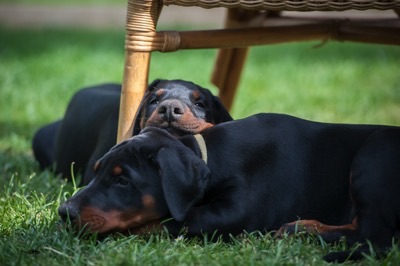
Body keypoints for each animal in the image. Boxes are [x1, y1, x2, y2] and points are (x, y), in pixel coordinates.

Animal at [59, 113, 400, 260]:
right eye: (97, 172)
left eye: (122, 180)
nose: (64, 212)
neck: (212, 157)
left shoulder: (235, 213)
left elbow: (172, 221)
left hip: (375, 152)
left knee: (374, 236)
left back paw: (299, 230)